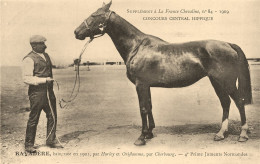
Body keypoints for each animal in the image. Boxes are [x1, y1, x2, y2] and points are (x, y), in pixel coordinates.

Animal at [74, 0, 253, 145]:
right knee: (225, 103)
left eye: (94, 15)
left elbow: (143, 108)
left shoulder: (141, 85)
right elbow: (149, 106)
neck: (136, 46)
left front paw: (141, 137)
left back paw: (242, 135)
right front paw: (149, 133)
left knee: (239, 102)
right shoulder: (146, 86)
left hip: (226, 82)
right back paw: (221, 134)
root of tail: (228, 44)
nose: (76, 32)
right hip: (216, 82)